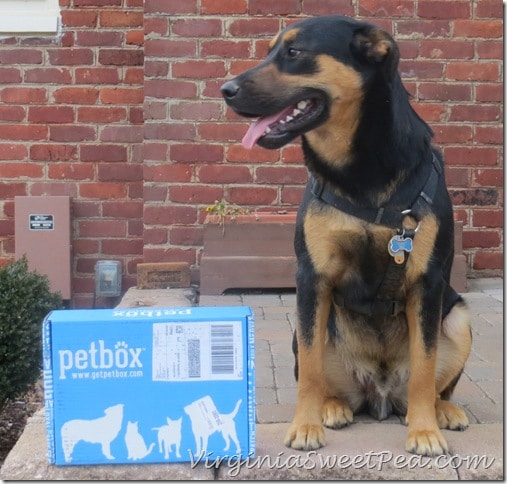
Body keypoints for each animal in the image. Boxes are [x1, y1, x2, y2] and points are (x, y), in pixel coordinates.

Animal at [221, 14, 472, 454]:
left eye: (293, 52)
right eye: (269, 51)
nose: (225, 91)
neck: (361, 171)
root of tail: (381, 395)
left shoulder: (427, 283)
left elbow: (425, 368)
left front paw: (424, 431)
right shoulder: (312, 279)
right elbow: (310, 370)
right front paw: (305, 426)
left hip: (459, 318)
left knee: (435, 385)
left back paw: (442, 411)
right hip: (305, 331)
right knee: (323, 375)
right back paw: (332, 407)